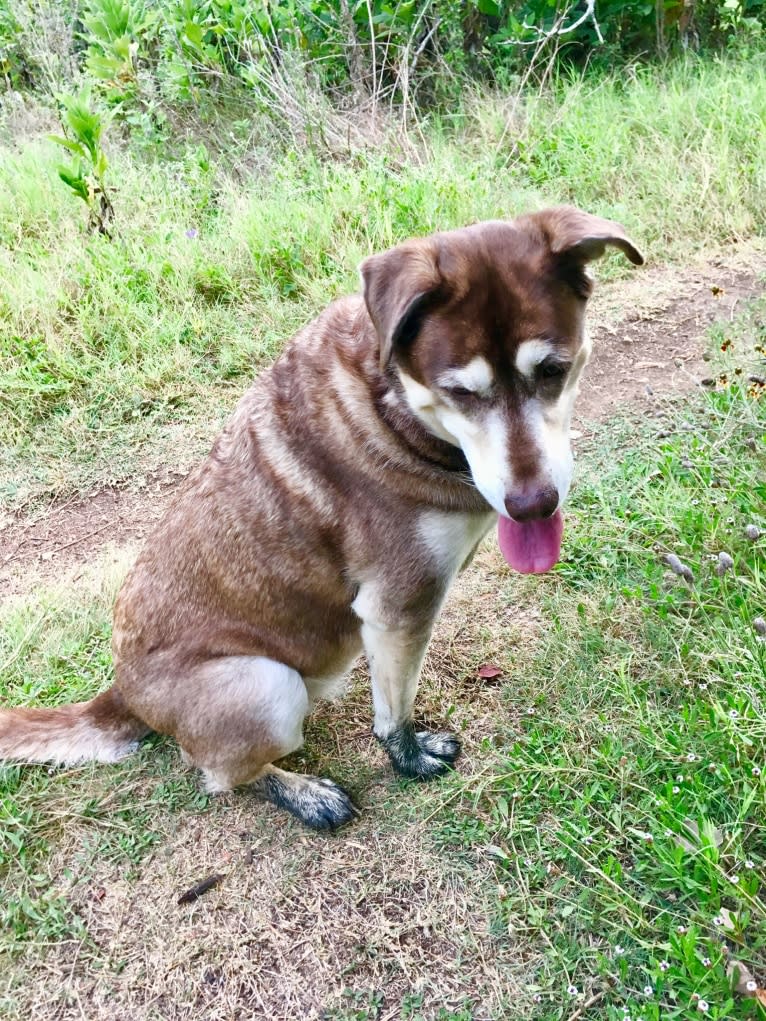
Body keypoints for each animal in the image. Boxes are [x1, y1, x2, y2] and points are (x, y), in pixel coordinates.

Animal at [0, 205, 645, 829]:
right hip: (267, 686)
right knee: (217, 773)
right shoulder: (399, 608)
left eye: (553, 370)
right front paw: (408, 759)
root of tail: (122, 694)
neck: (394, 405)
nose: (533, 504)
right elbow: (394, 713)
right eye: (461, 393)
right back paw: (304, 793)